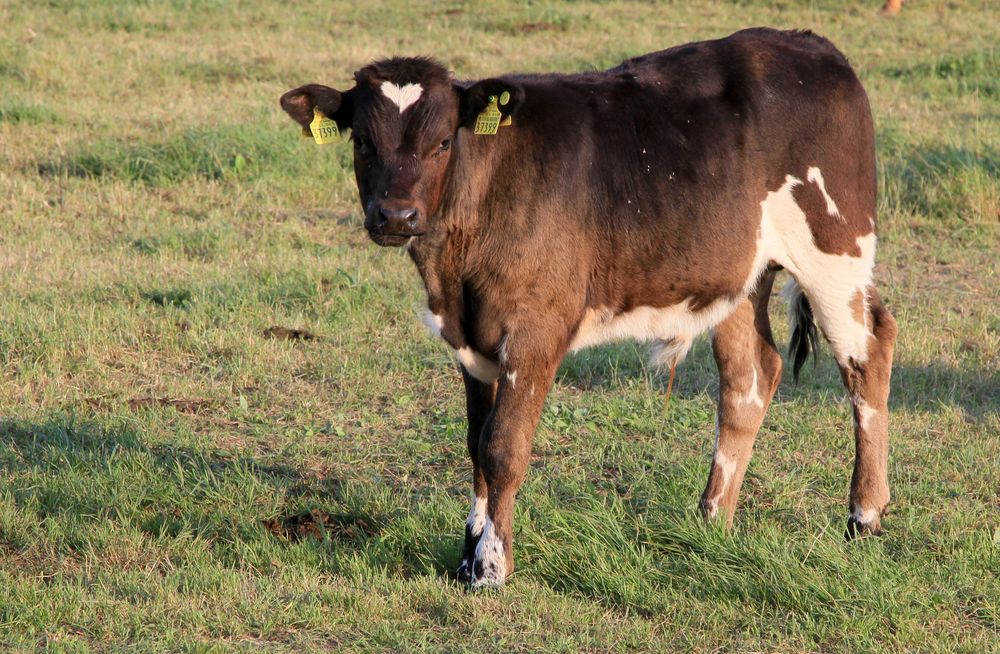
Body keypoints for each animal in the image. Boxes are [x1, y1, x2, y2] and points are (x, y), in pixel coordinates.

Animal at [280, 28, 900, 588]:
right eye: (362, 141)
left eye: (441, 144)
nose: (397, 216)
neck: (454, 271)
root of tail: (809, 43)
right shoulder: (470, 338)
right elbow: (476, 445)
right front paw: (465, 557)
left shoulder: (535, 328)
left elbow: (503, 448)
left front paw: (492, 568)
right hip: (741, 275)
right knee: (749, 379)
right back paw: (711, 521)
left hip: (835, 249)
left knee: (868, 353)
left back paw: (864, 516)